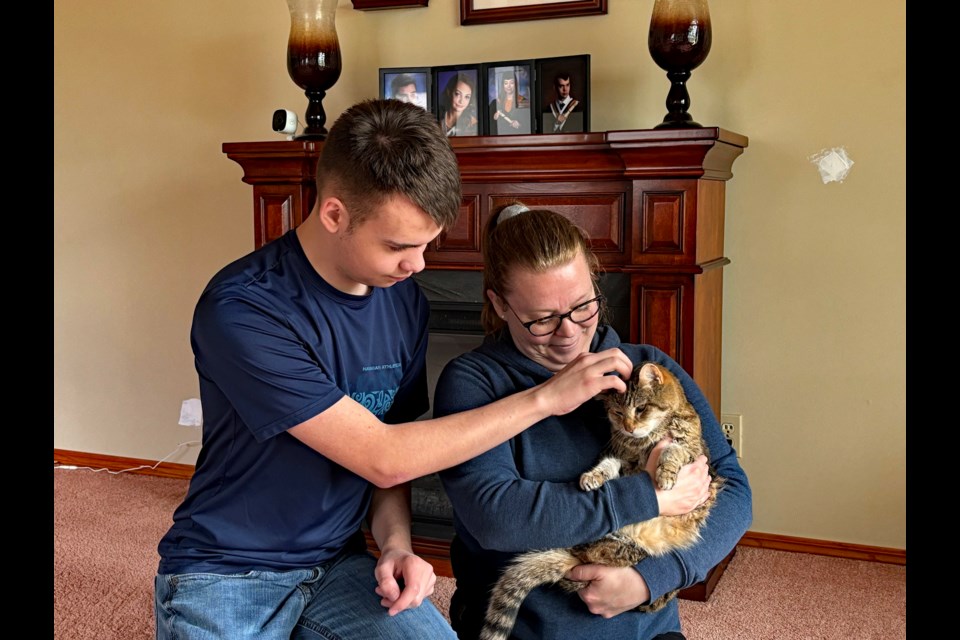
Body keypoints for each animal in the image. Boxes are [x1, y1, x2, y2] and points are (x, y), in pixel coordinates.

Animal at [476, 362, 724, 640]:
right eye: (618, 412)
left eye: (641, 408)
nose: (628, 427)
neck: (646, 441)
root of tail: (575, 555)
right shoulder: (623, 460)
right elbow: (608, 464)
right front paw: (592, 477)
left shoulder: (694, 453)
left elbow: (673, 451)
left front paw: (665, 475)